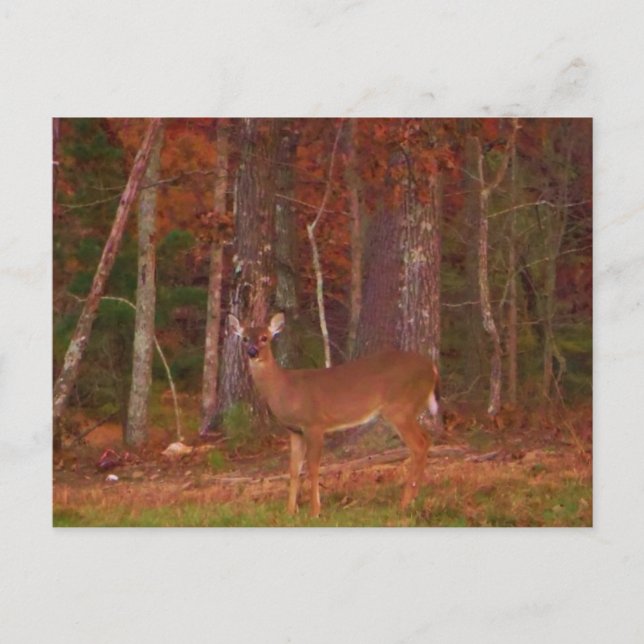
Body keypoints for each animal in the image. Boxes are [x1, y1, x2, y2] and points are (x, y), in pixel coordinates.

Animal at [229, 312, 440, 517]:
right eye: (245, 338)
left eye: (265, 337)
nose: (252, 352)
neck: (285, 389)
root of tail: (432, 367)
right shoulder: (295, 430)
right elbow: (294, 470)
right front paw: (289, 512)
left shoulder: (314, 423)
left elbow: (313, 467)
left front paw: (315, 511)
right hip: (408, 409)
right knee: (427, 439)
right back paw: (413, 498)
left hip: (399, 407)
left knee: (419, 444)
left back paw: (404, 503)